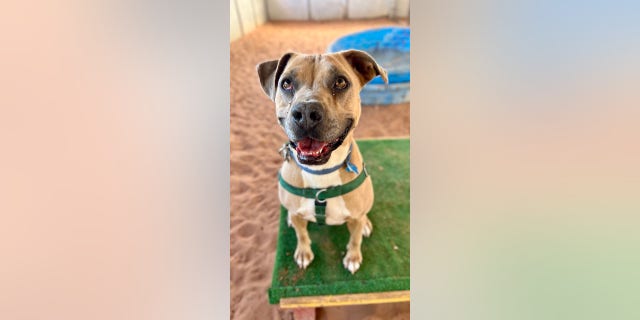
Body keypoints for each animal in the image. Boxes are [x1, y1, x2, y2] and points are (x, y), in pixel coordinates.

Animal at [256, 50, 388, 276]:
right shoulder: (298, 215)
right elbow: (301, 235)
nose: (306, 113)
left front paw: (353, 257)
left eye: (341, 82)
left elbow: (355, 239)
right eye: (286, 83)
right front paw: (303, 252)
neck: (321, 172)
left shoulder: (355, 218)